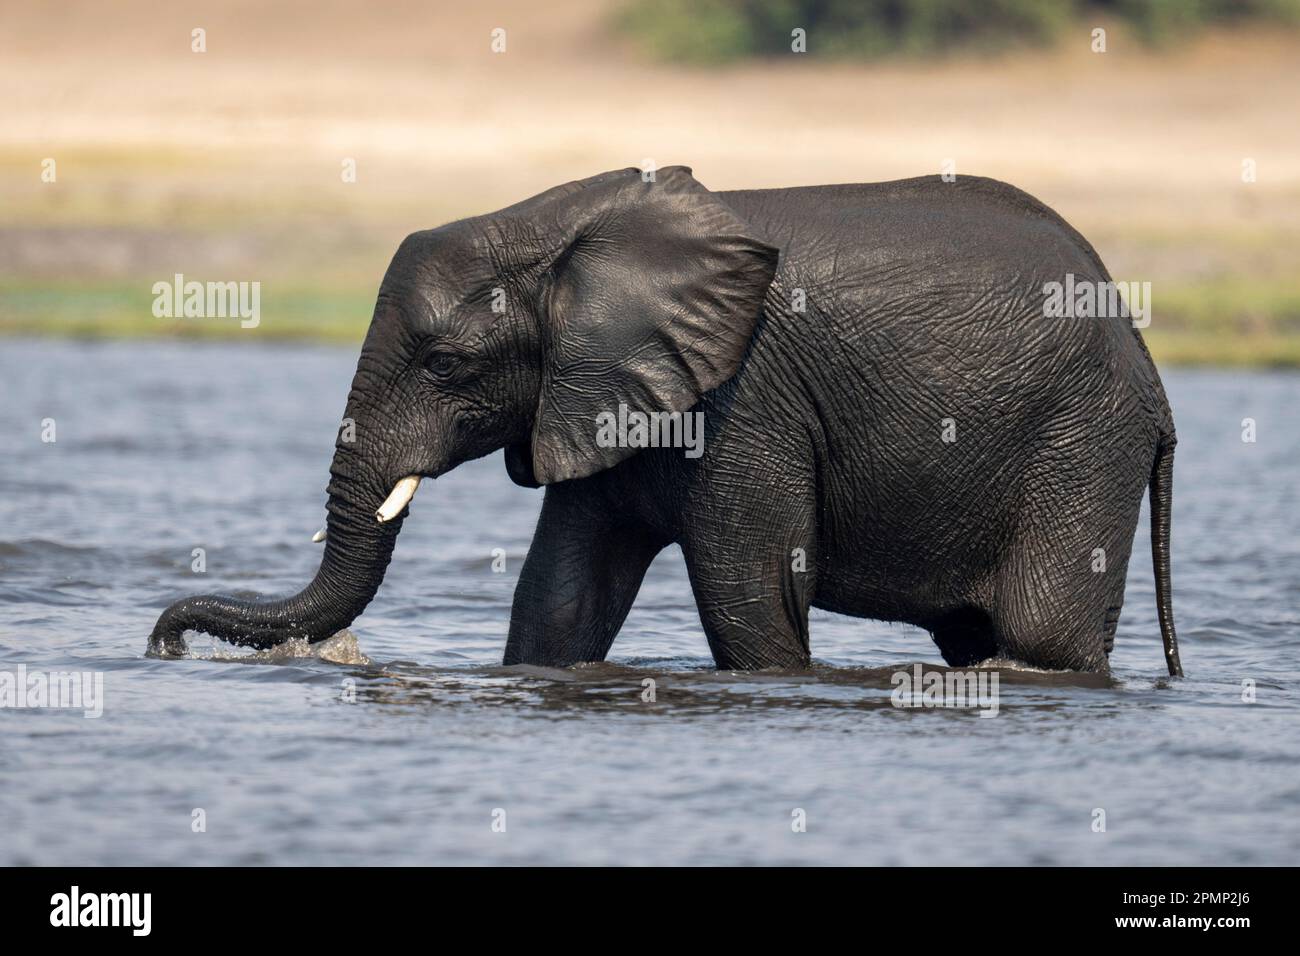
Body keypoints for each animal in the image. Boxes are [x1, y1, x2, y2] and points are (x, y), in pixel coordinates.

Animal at [150, 166, 1183, 677]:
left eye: (444, 365)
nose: (164, 643)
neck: (562, 226)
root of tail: (1148, 364)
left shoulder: (746, 399)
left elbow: (750, 601)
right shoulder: (607, 387)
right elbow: (561, 599)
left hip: (1080, 441)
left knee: (1043, 633)